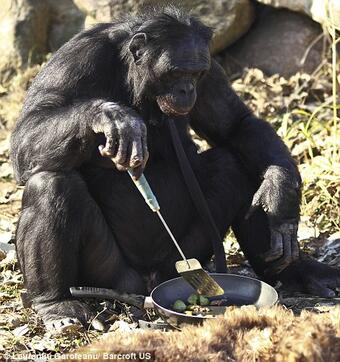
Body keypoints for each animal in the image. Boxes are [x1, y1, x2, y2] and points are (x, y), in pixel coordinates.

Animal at [10, 7, 340, 330]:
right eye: (176, 72)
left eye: (195, 73)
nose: (186, 89)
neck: (132, 80)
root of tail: (149, 284)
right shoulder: (74, 60)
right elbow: (28, 132)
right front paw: (111, 117)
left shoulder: (212, 72)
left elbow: (234, 125)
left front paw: (280, 192)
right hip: (112, 273)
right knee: (50, 184)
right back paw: (56, 303)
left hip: (184, 256)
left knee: (234, 163)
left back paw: (297, 271)